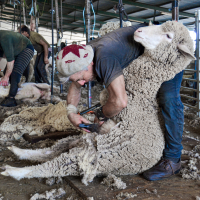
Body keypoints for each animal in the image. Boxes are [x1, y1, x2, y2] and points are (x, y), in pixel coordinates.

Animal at [0, 21, 195, 185]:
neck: (140, 98)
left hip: (94, 156)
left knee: (49, 165)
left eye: (168, 35)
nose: (139, 31)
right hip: (78, 141)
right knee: (49, 152)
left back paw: (13, 171)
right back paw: (18, 151)